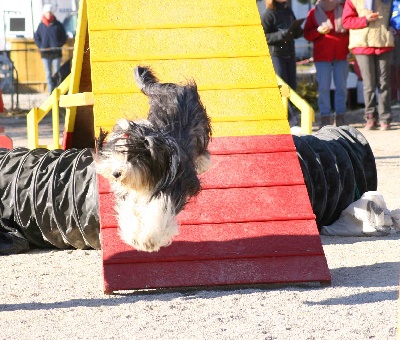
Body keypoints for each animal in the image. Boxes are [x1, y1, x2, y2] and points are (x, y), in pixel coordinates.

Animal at [94, 65, 212, 252]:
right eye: (117, 153)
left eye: (134, 157)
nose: (116, 173)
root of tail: (171, 88)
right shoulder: (130, 195)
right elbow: (130, 211)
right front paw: (133, 236)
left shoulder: (171, 189)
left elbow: (159, 210)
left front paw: (149, 240)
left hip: (199, 127)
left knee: (202, 149)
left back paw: (203, 162)